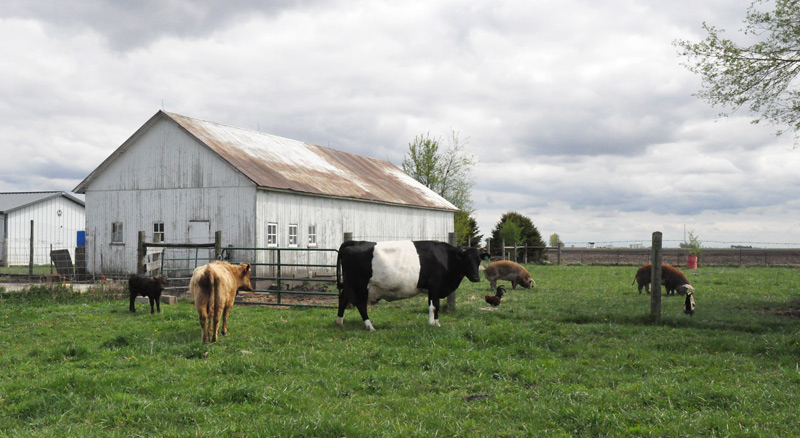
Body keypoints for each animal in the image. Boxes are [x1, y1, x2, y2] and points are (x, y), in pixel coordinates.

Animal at [336, 240, 483, 331]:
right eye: (467, 260)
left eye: (479, 260)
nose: (476, 278)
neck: (446, 258)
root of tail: (355, 242)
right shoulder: (434, 286)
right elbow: (434, 306)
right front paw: (432, 324)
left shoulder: (434, 289)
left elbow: (436, 306)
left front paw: (437, 323)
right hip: (360, 285)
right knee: (360, 305)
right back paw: (370, 326)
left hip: (349, 284)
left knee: (343, 299)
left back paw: (340, 323)